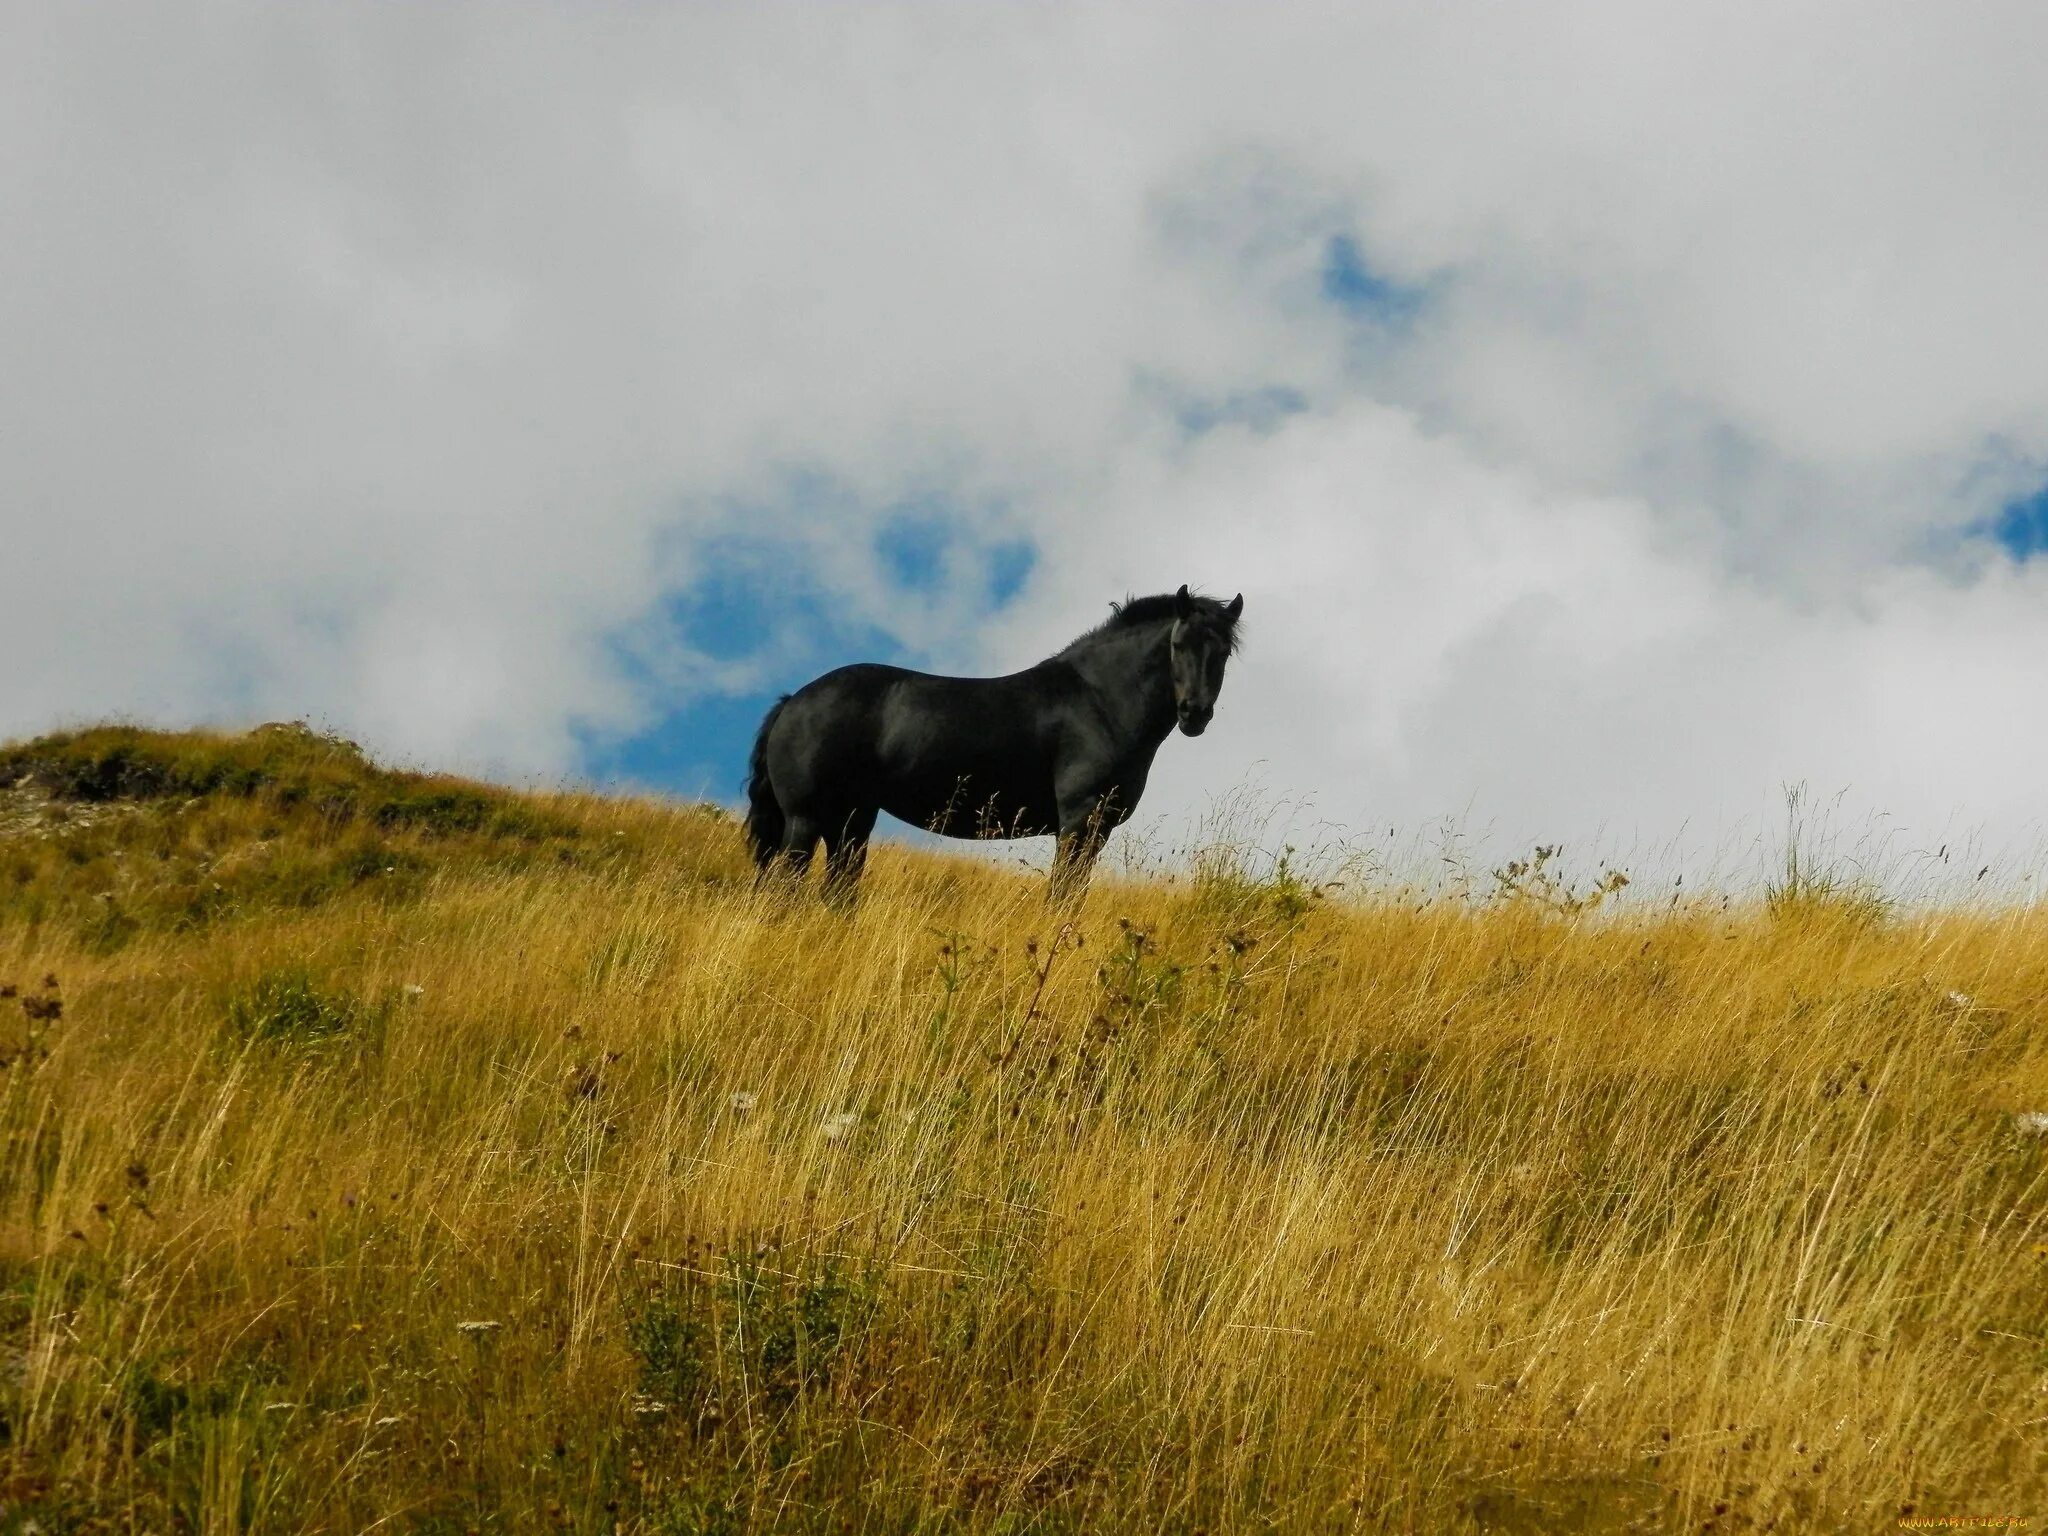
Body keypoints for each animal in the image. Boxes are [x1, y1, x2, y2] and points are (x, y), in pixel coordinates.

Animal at [745, 585, 1236, 901]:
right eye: (1177, 644)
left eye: (1224, 651)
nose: (1195, 713)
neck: (1099, 699)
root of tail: (794, 702)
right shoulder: (1080, 820)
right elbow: (1062, 895)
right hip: (805, 820)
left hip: (850, 822)